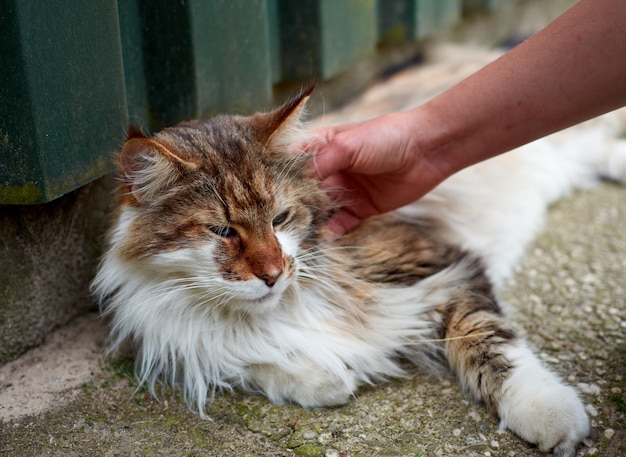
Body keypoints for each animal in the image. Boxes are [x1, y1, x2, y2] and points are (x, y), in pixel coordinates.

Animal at [90, 85, 624, 456]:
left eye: (280, 219)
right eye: (222, 231)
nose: (273, 274)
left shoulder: (444, 265)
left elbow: (494, 345)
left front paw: (550, 415)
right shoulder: (187, 339)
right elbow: (261, 364)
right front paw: (331, 376)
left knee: (600, 144)